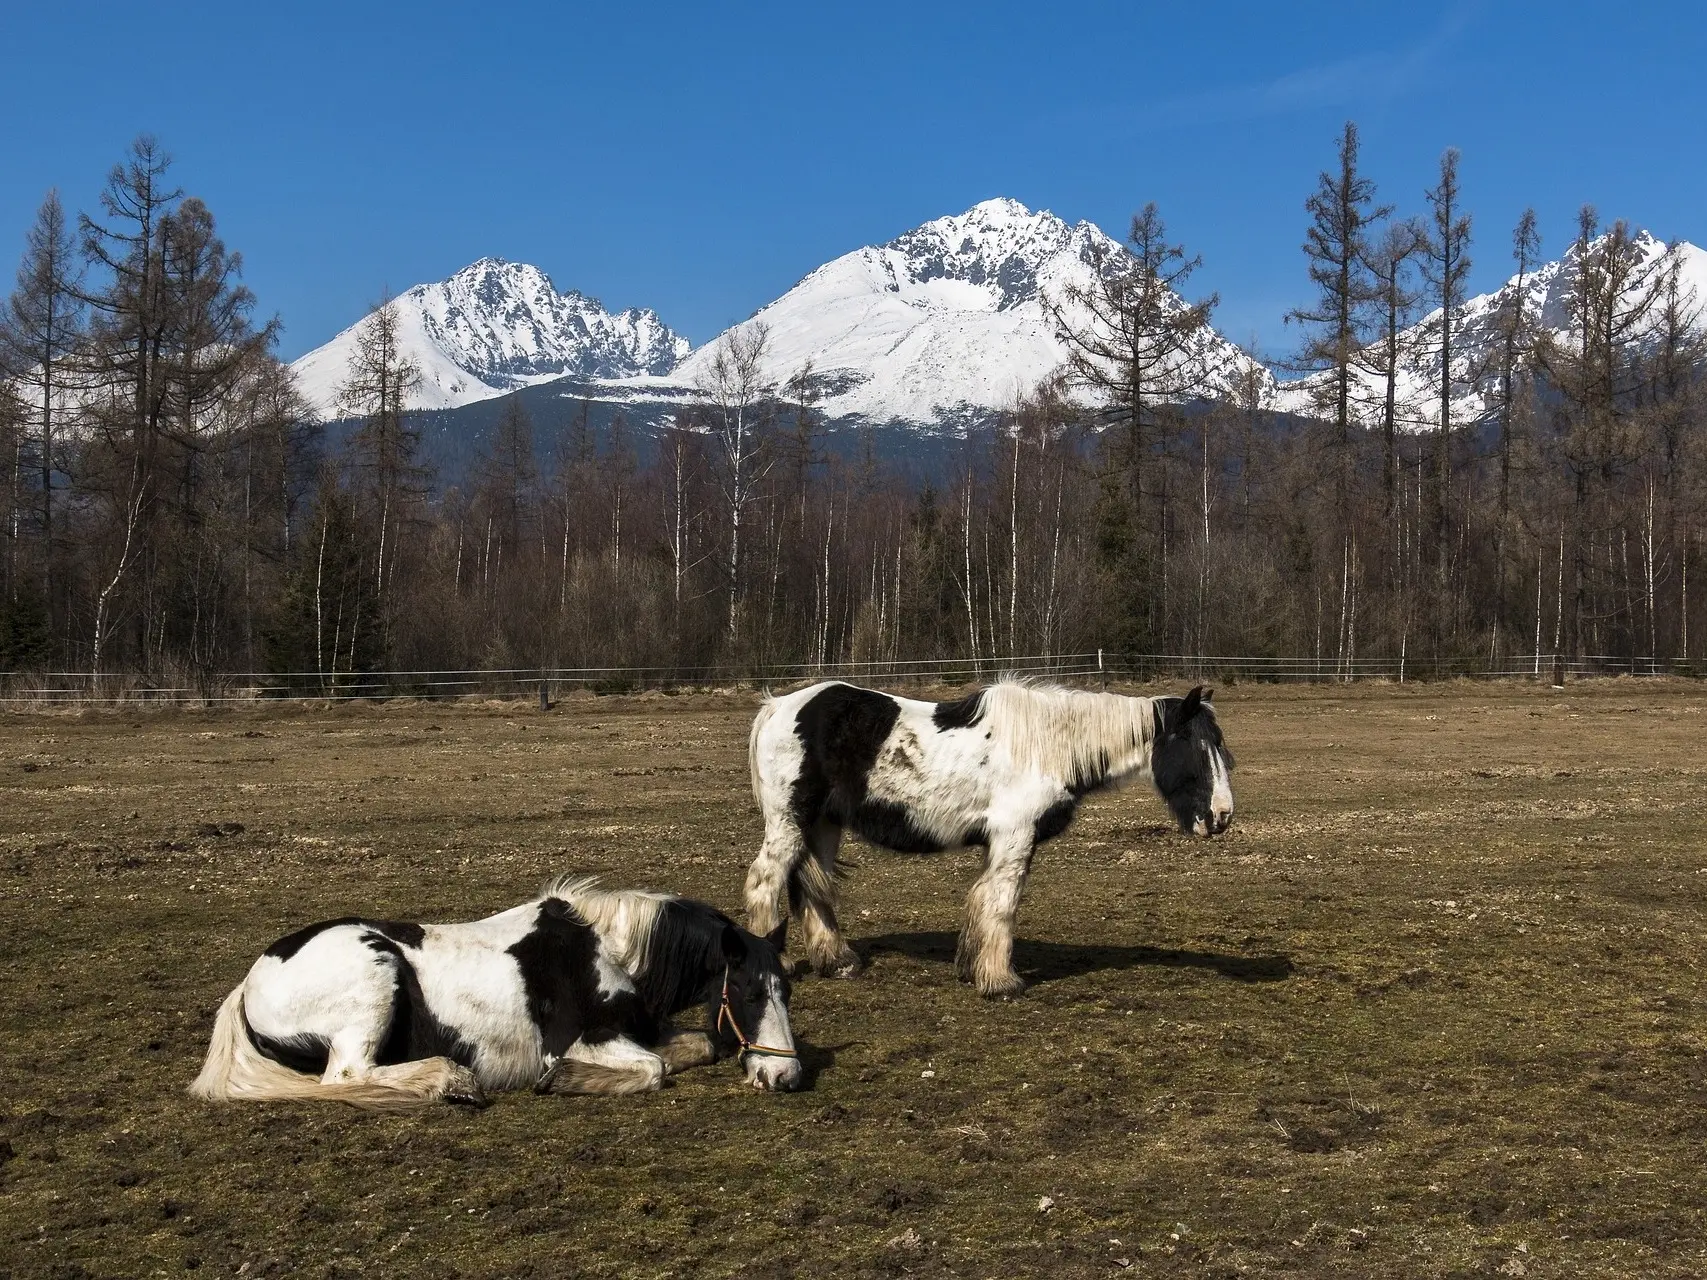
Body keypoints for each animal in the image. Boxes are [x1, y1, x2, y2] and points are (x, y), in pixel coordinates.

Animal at [190, 880, 802, 1112]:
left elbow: (698, 1045)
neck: (608, 949)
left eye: (788, 990)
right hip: (373, 978)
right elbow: (653, 1069)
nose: (786, 1076)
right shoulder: (582, 1040)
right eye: (748, 990)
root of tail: (249, 983)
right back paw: (449, 1080)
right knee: (346, 1076)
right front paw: (562, 1081)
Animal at [740, 686, 1235, 996]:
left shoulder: (999, 843)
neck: (1047, 748)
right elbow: (1002, 903)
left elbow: (983, 900)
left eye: (1219, 745)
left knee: (813, 887)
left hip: (824, 825)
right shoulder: (1014, 838)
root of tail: (778, 706)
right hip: (789, 823)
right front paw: (1001, 982)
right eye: (1191, 743)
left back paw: (838, 962)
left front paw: (974, 968)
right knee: (765, 881)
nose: (1222, 816)